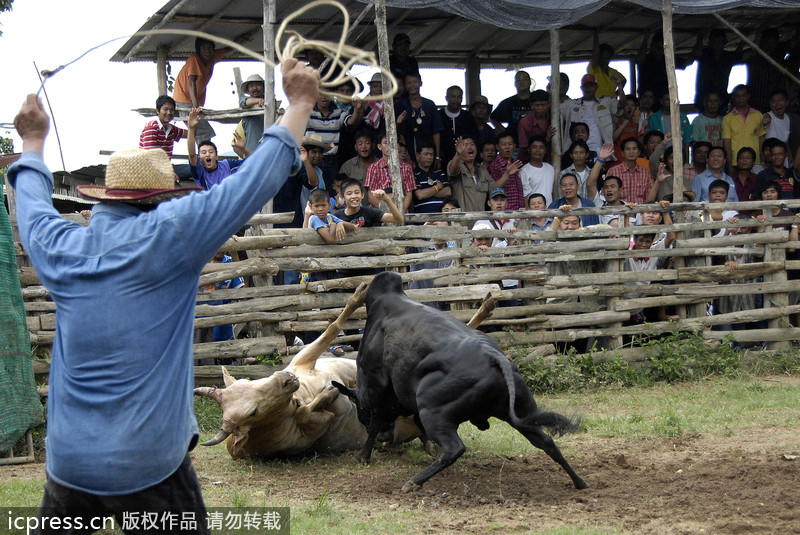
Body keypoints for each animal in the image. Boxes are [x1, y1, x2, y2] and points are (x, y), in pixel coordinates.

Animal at [194, 280, 494, 460]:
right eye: (253, 413)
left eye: (250, 383)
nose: (285, 378)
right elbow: (309, 410)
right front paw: (328, 394)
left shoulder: (303, 360)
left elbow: (332, 327)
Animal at [332, 272, 588, 494]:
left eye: (361, 412)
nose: (385, 440)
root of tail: (494, 357)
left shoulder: (376, 388)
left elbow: (376, 423)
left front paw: (363, 456)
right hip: (519, 414)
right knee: (547, 441)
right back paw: (580, 482)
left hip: (434, 411)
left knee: (455, 448)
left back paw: (413, 482)